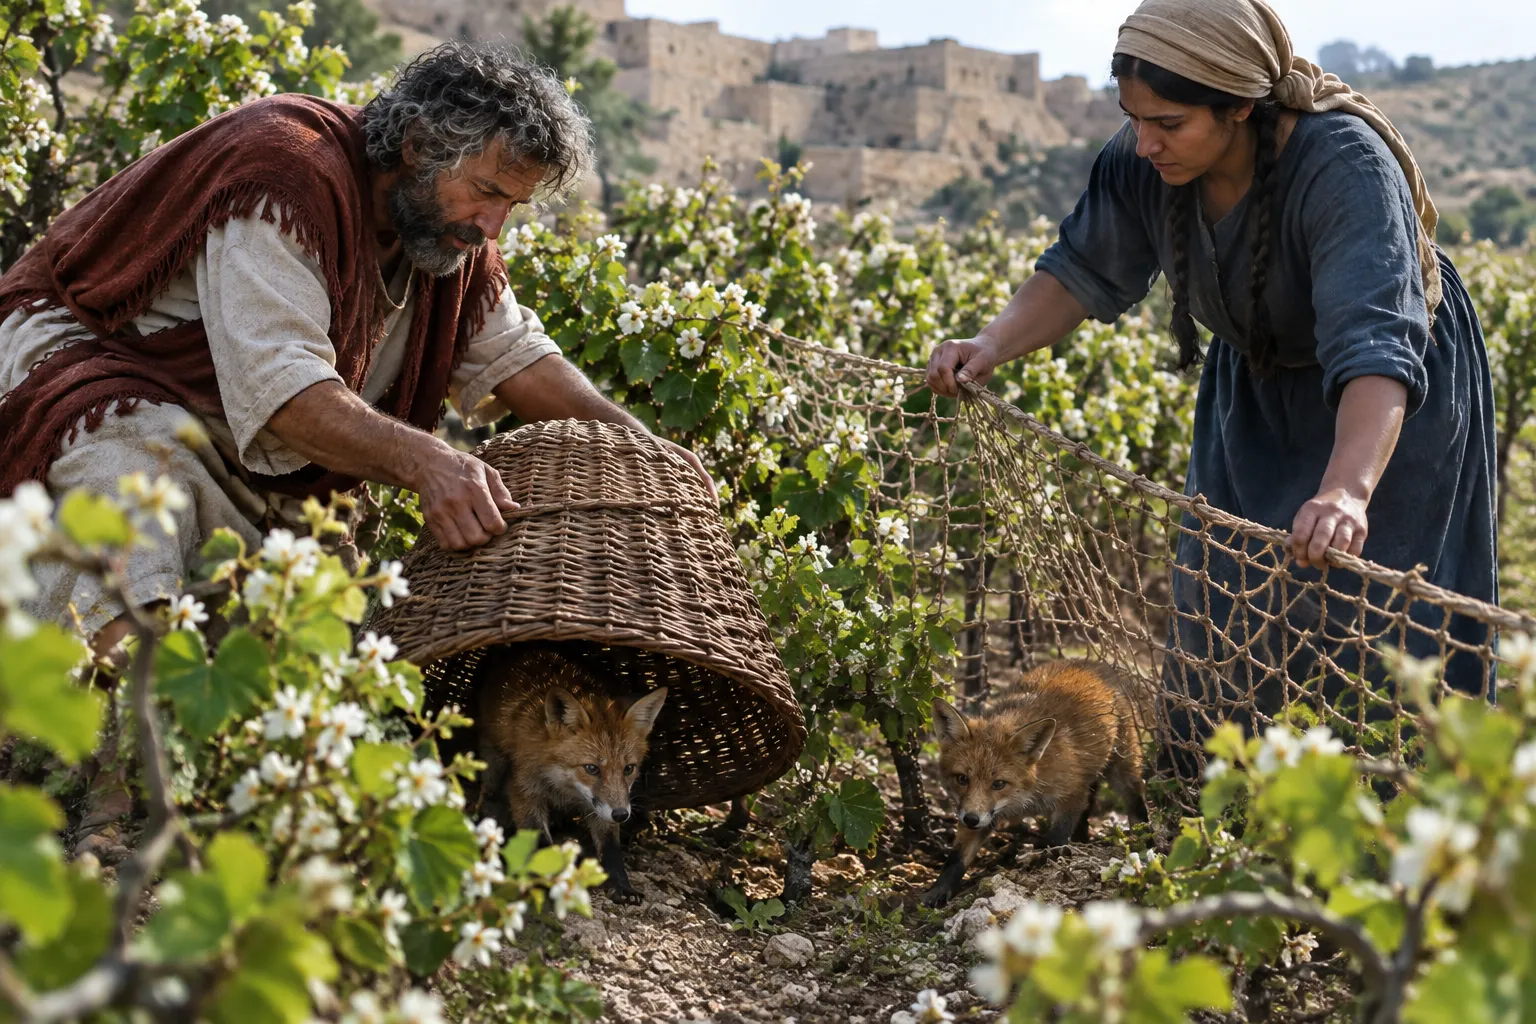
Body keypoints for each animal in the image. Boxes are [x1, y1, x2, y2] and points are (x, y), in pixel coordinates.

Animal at [476, 643, 668, 905]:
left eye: (629, 769)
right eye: (591, 768)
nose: (621, 815)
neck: (563, 785)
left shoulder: (603, 807)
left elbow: (611, 849)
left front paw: (622, 886)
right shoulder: (524, 791)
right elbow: (539, 839)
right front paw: (549, 879)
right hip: (493, 764)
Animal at [922, 659, 1149, 906]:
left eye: (998, 783)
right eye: (962, 778)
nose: (971, 819)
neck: (1024, 797)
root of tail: (1094, 664)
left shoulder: (1072, 793)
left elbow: (1056, 837)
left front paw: (1047, 861)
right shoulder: (978, 812)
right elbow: (956, 859)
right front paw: (938, 891)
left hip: (1123, 768)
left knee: (1135, 801)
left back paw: (1144, 836)